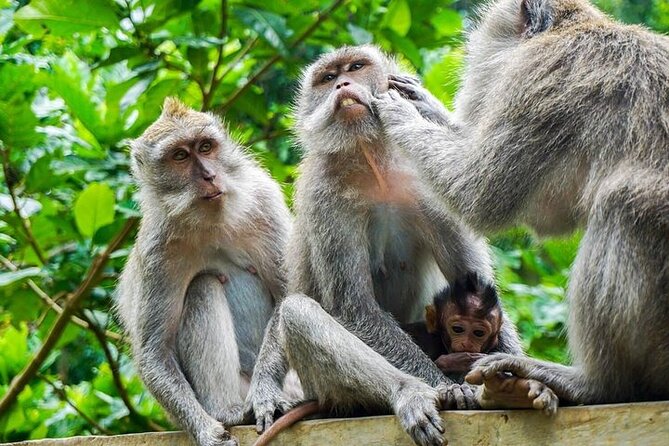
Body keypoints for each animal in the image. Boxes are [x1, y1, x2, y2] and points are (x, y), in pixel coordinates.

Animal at [115, 97, 293, 446]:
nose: (210, 175)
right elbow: (154, 351)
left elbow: (289, 295)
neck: (208, 221)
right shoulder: (157, 250)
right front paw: (206, 431)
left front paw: (266, 392)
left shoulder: (264, 202)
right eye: (180, 156)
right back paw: (228, 411)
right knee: (203, 285)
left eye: (206, 147)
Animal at [245, 45, 549, 446]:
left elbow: (474, 280)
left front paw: (519, 376)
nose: (342, 84)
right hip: (325, 388)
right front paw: (445, 386)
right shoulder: (325, 196)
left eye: (356, 67)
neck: (372, 160)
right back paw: (410, 392)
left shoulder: (425, 181)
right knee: (298, 312)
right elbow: (356, 306)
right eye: (328, 78)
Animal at [375, 0, 669, 407]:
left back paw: (596, 383)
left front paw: (400, 113)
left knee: (621, 204)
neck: (573, 29)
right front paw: (423, 103)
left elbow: (481, 193)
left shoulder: (536, 83)